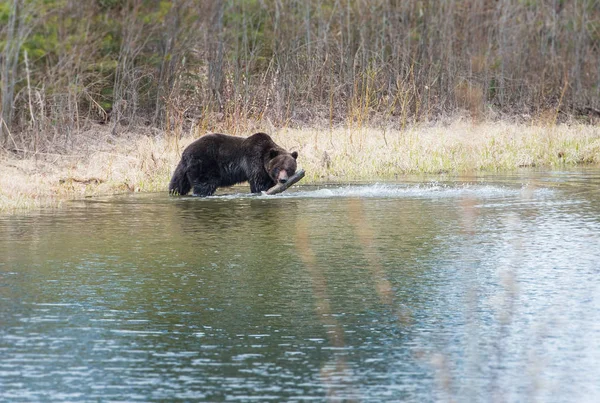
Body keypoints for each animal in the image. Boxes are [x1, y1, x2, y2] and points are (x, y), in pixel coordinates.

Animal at [168, 133, 298, 197]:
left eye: (289, 169)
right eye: (278, 168)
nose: (283, 180)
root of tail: (185, 152)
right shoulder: (254, 161)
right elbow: (258, 184)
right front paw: (261, 191)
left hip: (183, 168)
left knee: (178, 183)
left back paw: (175, 192)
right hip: (204, 164)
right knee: (205, 184)